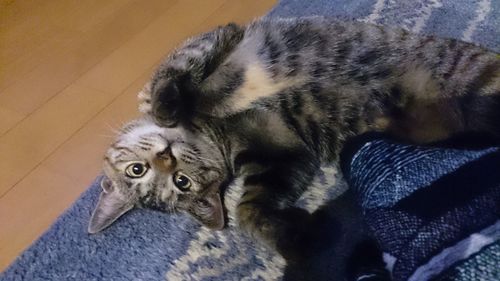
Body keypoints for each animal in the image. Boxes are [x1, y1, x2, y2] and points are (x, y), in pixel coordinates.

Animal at [91, 17, 500, 262]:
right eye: (182, 184)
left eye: (137, 169)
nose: (165, 157)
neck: (211, 129)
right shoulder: (284, 155)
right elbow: (248, 210)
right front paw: (298, 240)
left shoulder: (215, 41)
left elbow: (171, 75)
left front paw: (163, 106)